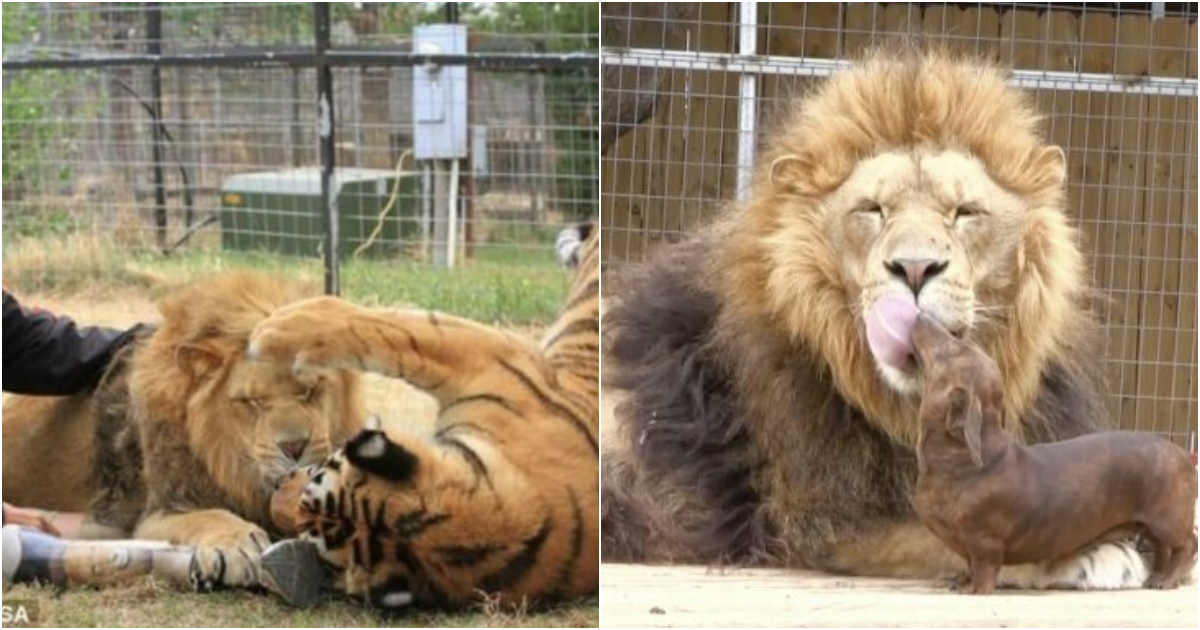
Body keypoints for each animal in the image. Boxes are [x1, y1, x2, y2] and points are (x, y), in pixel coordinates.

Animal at [2, 272, 357, 588]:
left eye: (311, 391)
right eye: (252, 402)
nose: (295, 447)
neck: (229, 462)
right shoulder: (155, 513)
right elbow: (209, 515)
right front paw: (239, 543)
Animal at [600, 46, 1152, 588]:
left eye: (965, 212)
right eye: (872, 210)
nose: (915, 267)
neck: (909, 407)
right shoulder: (822, 521)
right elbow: (959, 533)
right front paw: (1090, 551)